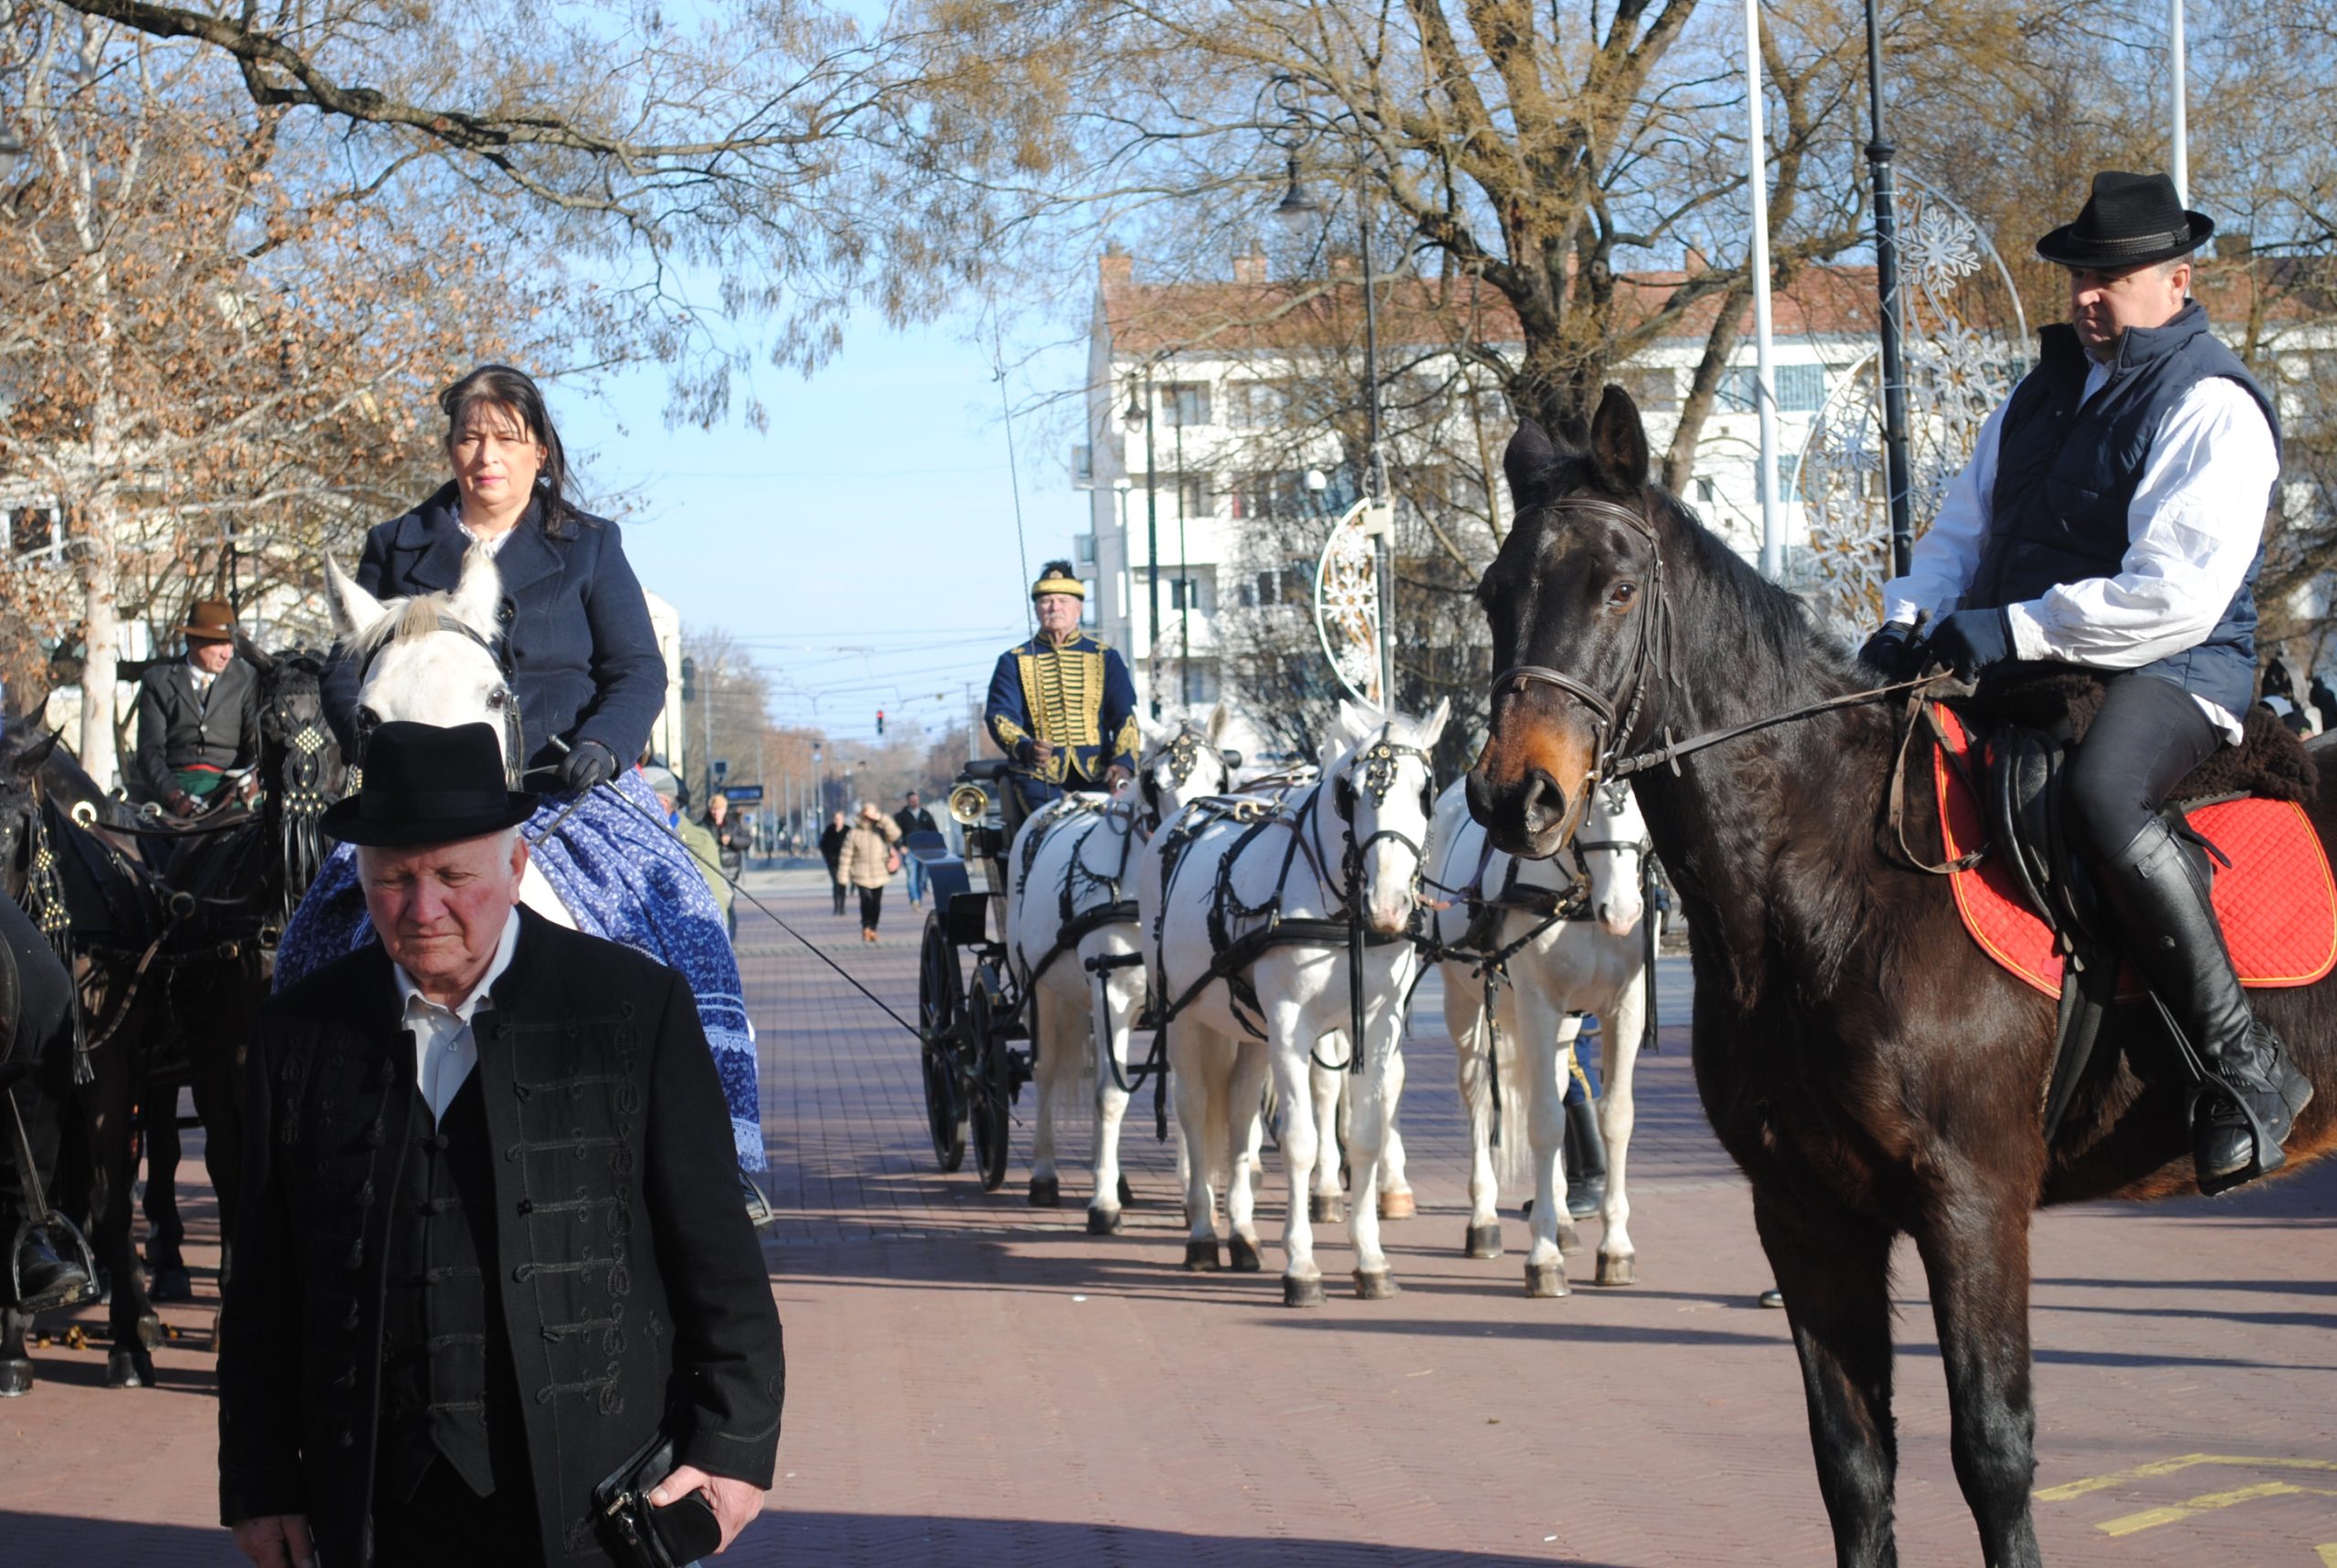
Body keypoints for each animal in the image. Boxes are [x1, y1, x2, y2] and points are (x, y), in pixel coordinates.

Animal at [1004, 706, 1242, 1233]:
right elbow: (1111, 1095)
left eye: (1220, 776)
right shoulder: (1110, 994)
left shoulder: (1179, 1003)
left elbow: (1181, 1090)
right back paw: (1047, 1174)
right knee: (1046, 1070)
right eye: (1154, 783)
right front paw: (1102, 1205)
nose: (1187, 834)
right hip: (1043, 990)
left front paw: (1190, 1193)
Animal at [1136, 706, 1439, 1308]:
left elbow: (1365, 1135)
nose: (1388, 907)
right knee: (1194, 1109)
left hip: (1248, 1031)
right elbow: (1300, 1141)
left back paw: (1242, 1236)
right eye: (1352, 792)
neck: (1341, 913)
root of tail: (1184, 818)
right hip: (1186, 1018)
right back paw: (1202, 1234)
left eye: (1425, 791)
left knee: (1237, 1116)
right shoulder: (1291, 1027)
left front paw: (1371, 1260)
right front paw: (1302, 1266)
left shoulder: (1376, 1025)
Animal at [1411, 776, 1654, 1299]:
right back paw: (1484, 1220)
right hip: (1465, 1005)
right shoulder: (1539, 1004)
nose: (1623, 913)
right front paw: (1544, 1258)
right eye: (1589, 815)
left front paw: (1615, 1247)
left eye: (1644, 812)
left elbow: (1614, 1117)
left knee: (1562, 1092)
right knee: (1479, 1098)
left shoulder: (1624, 1008)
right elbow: (1543, 1121)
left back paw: (1563, 1218)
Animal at [1467, 392, 2327, 1568]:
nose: (1517, 795)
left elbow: (1992, 1449)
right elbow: (1852, 1462)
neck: (1831, 877)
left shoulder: (1971, 1198)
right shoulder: (1805, 1208)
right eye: (1492, 593)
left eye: (1617, 584)